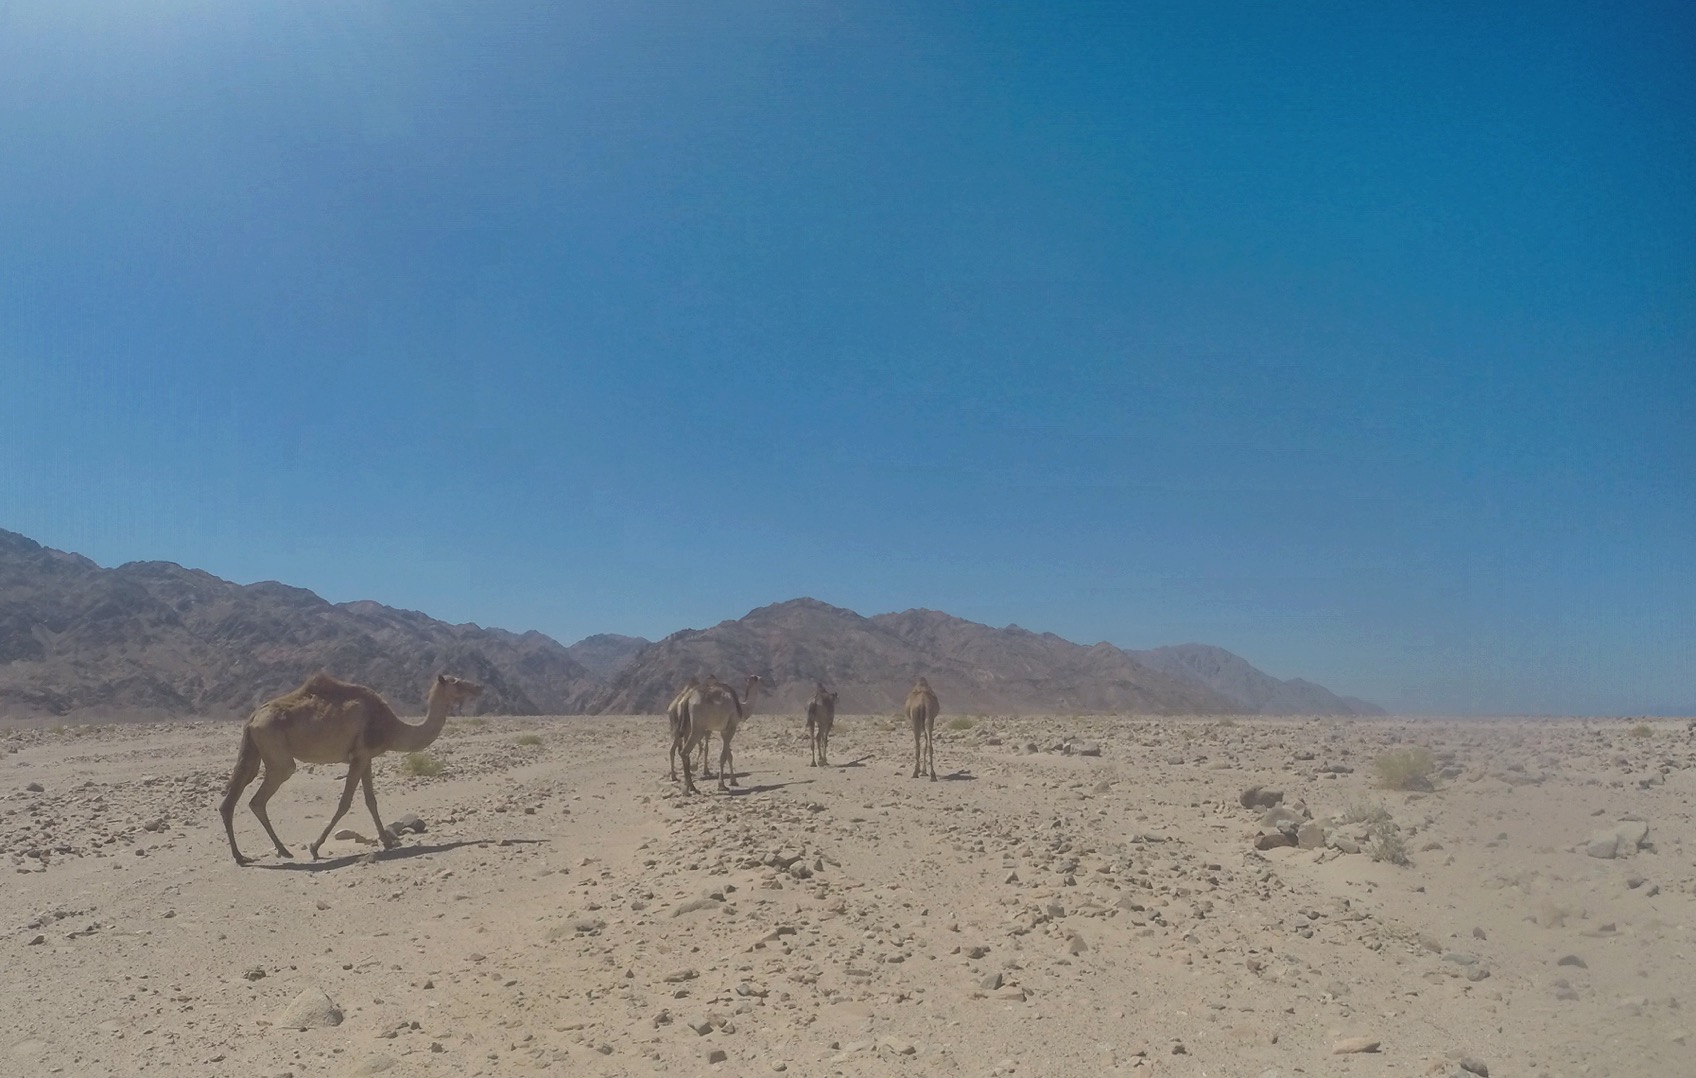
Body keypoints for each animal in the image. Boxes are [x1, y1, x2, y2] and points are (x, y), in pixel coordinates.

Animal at [218, 674, 481, 867]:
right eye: (456, 681)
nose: (478, 687)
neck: (392, 727)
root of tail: (253, 716)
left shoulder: (366, 757)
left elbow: (371, 800)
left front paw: (387, 842)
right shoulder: (360, 755)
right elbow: (345, 803)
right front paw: (315, 848)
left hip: (254, 752)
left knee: (232, 798)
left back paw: (243, 856)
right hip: (278, 755)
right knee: (258, 799)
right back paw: (282, 851)